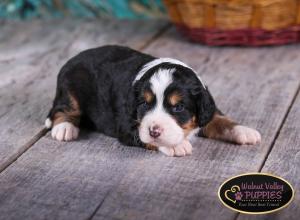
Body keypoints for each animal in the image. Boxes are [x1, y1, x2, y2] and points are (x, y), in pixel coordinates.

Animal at [44, 45, 260, 157]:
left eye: (178, 107)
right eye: (144, 104)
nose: (154, 130)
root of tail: (72, 59)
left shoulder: (205, 110)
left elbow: (219, 119)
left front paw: (245, 131)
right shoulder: (127, 126)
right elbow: (145, 138)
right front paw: (175, 146)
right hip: (70, 86)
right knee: (63, 108)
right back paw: (64, 128)